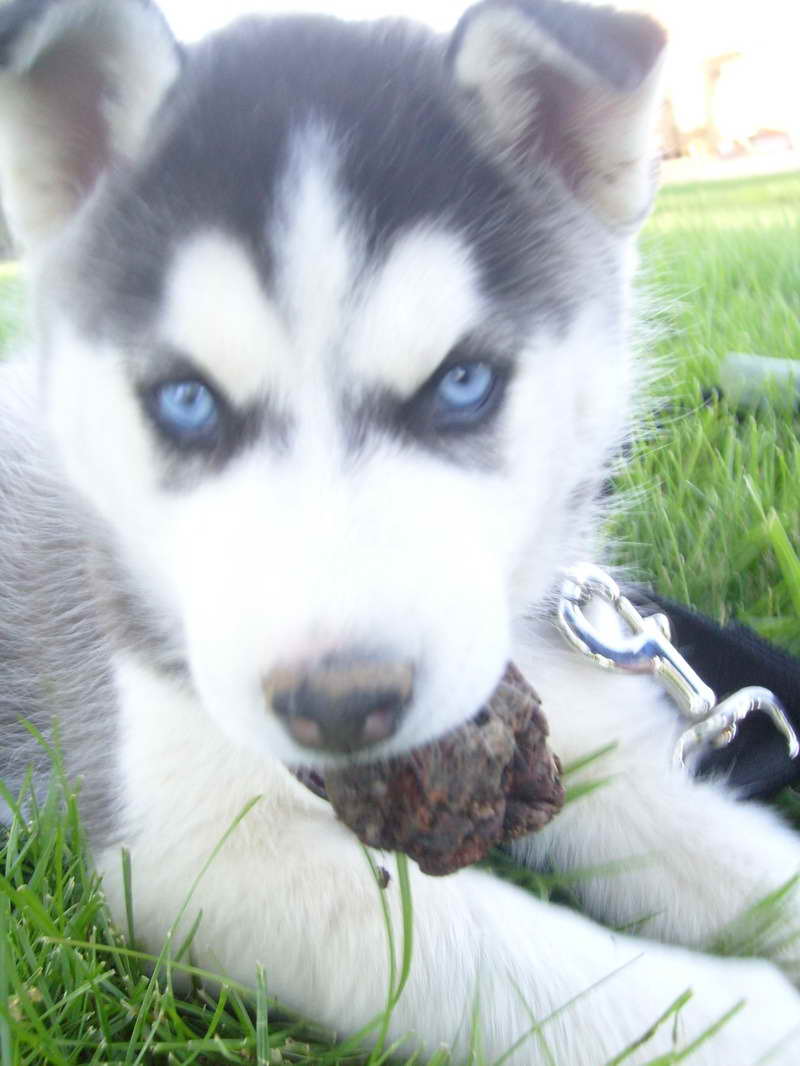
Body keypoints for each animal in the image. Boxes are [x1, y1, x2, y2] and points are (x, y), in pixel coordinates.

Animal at [1, 0, 800, 1061]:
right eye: (185, 400)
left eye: (462, 382)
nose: (338, 707)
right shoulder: (194, 847)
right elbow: (505, 966)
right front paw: (744, 1015)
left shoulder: (591, 741)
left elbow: (731, 859)